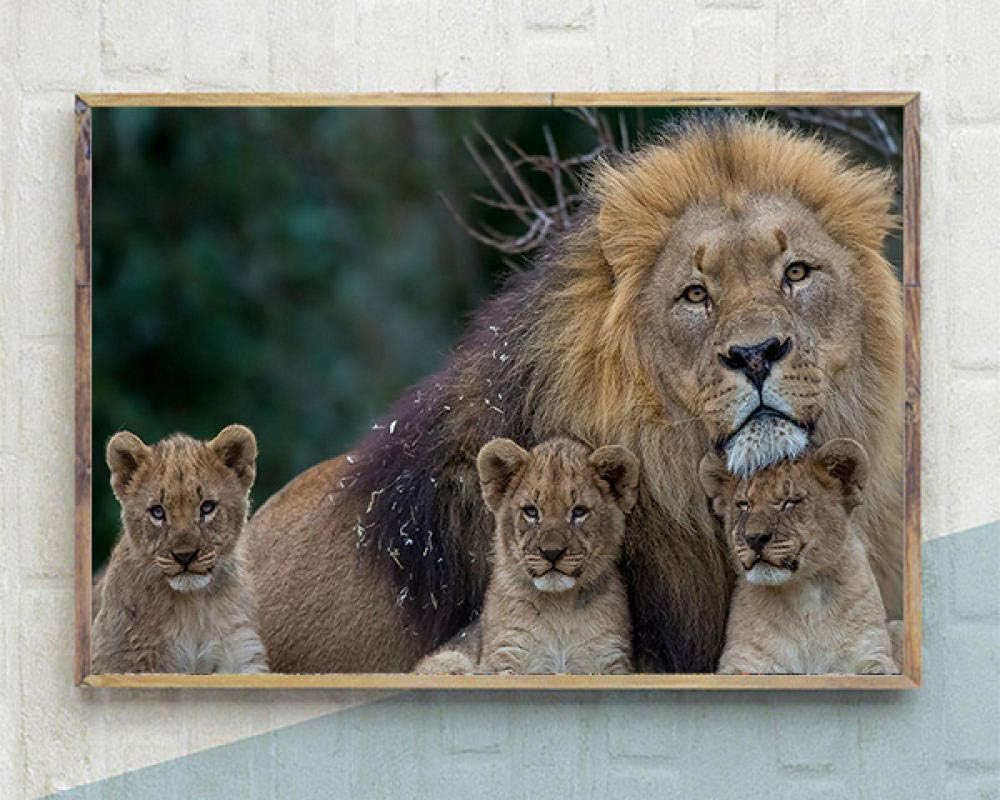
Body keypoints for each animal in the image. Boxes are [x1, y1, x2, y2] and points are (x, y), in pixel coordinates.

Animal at [92, 425, 268, 674]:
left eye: (207, 507)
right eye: (157, 512)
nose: (185, 556)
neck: (190, 607)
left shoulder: (239, 650)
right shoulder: (123, 659)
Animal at [414, 437, 636, 675]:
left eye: (579, 511)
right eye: (531, 511)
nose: (551, 553)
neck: (560, 607)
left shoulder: (610, 659)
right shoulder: (505, 655)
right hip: (449, 658)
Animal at [699, 439, 897, 674]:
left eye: (789, 502)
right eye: (743, 505)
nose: (754, 538)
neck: (803, 595)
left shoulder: (872, 655)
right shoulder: (743, 661)